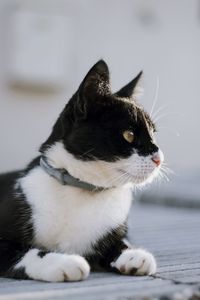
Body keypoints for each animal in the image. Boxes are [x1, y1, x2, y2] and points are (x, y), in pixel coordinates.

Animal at [0, 60, 164, 282]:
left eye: (153, 134)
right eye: (129, 135)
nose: (159, 158)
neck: (83, 189)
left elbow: (119, 243)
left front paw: (132, 254)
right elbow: (27, 253)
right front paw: (64, 262)